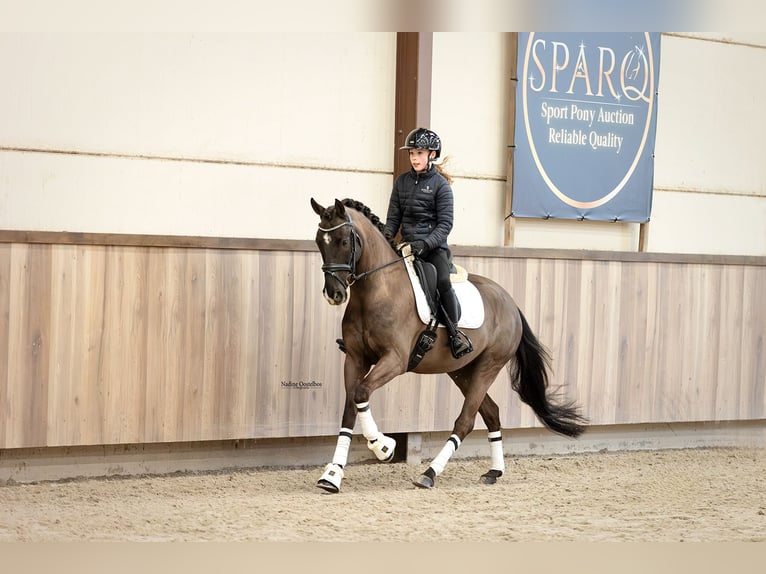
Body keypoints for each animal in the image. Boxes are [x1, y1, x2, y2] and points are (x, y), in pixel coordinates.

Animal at [310, 197, 587, 492]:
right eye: (319, 242)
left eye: (343, 241)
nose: (334, 294)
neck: (376, 291)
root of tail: (511, 304)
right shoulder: (354, 358)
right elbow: (350, 408)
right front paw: (333, 475)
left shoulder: (395, 360)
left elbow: (361, 393)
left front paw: (383, 447)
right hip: (463, 371)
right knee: (491, 413)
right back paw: (494, 471)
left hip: (488, 367)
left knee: (465, 421)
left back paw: (430, 473)